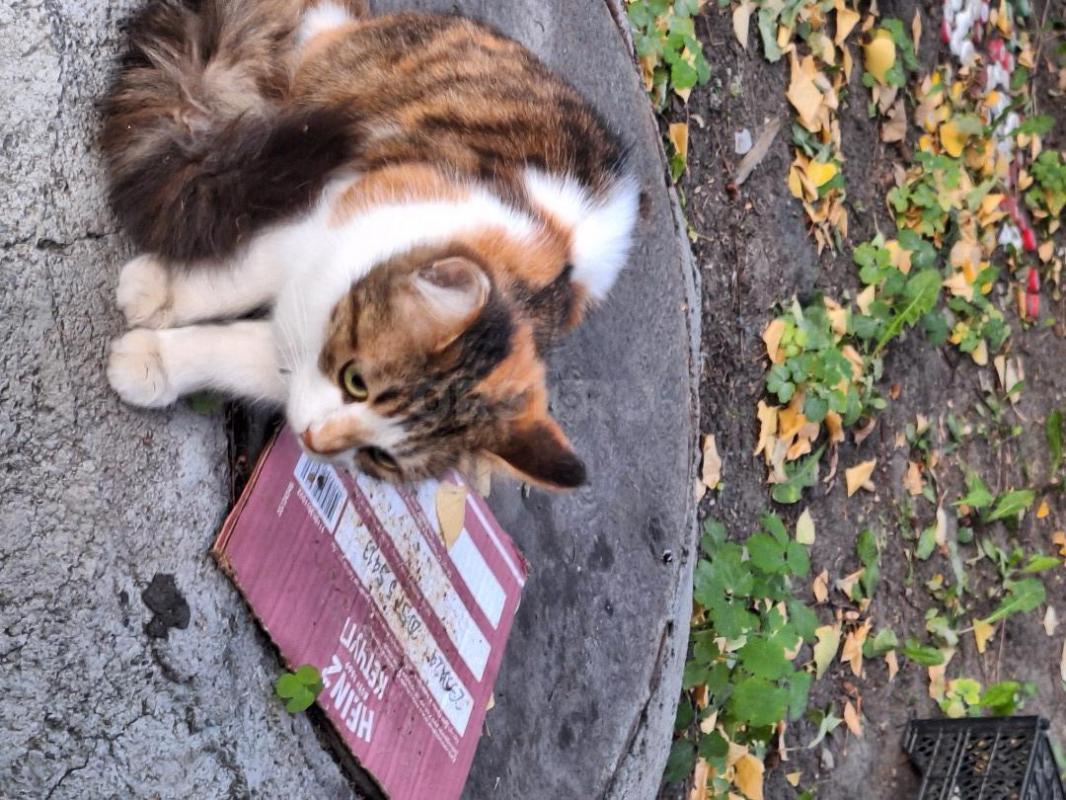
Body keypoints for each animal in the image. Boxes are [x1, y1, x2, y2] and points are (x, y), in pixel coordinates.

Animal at [100, 1, 635, 488]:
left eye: (381, 457)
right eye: (355, 381)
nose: (314, 442)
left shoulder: (295, 367)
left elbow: (229, 354)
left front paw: (154, 360)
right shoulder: (325, 212)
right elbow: (238, 277)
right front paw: (157, 292)